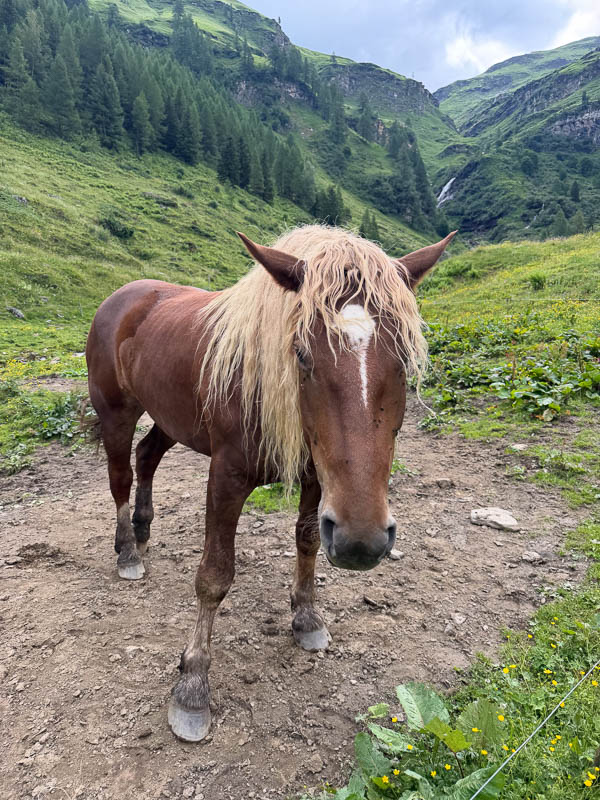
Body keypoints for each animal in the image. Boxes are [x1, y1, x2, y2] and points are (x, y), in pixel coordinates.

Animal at [86, 224, 456, 742]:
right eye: (301, 354)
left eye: (404, 355)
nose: (362, 542)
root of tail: (124, 296)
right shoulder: (226, 477)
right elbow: (214, 576)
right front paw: (192, 685)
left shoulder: (318, 477)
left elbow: (307, 541)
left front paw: (306, 618)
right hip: (115, 412)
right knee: (120, 474)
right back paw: (127, 552)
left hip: (170, 416)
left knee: (147, 456)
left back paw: (142, 529)